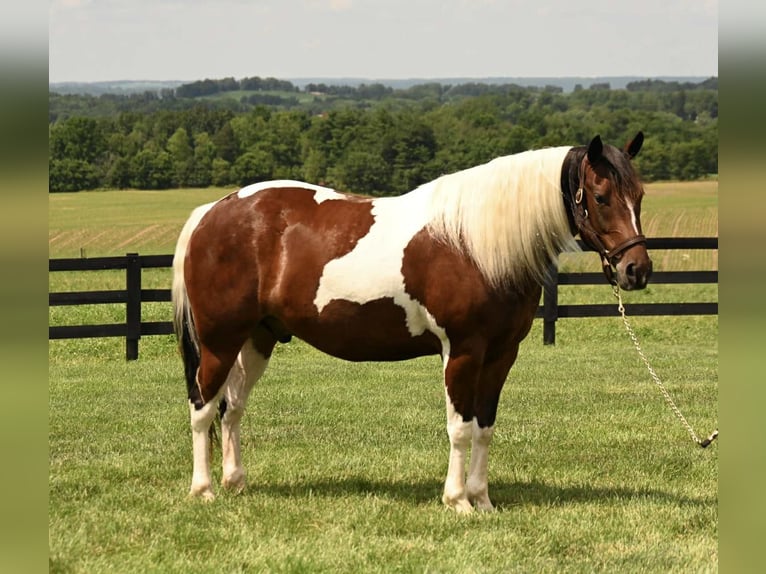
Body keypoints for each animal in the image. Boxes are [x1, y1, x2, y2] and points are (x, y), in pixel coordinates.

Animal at [172, 132, 652, 511]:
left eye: (640, 196)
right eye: (601, 197)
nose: (637, 270)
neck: (474, 244)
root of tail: (212, 212)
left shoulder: (501, 355)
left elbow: (484, 428)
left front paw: (482, 499)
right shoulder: (462, 352)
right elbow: (460, 428)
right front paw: (457, 501)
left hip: (257, 339)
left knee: (233, 408)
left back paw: (235, 483)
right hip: (219, 342)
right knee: (203, 406)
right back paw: (203, 490)